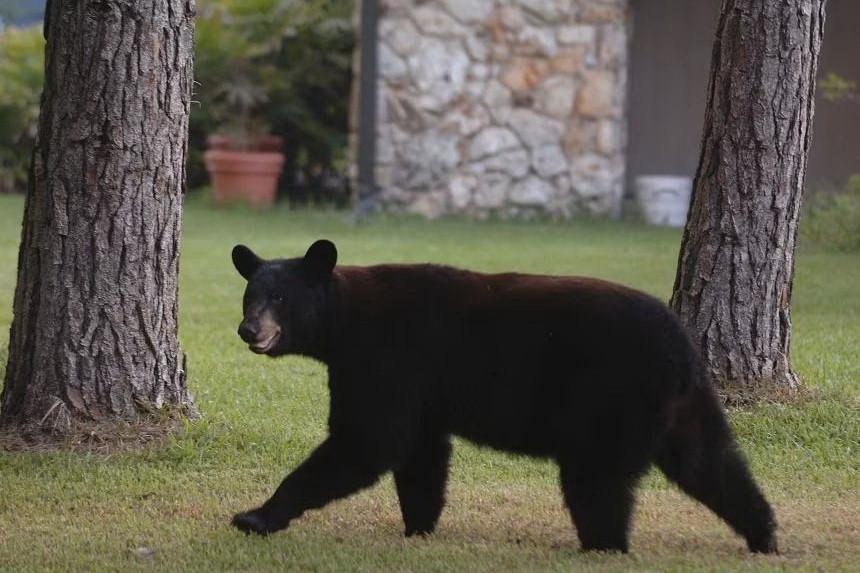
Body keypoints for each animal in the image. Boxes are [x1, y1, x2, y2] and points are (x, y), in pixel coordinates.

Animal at [229, 239, 778, 554]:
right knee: (710, 463)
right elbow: (422, 455)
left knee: (597, 481)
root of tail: (682, 348)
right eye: (249, 295)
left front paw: (256, 516)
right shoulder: (420, 388)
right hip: (684, 406)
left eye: (279, 298)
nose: (248, 330)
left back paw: (602, 546)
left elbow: (368, 441)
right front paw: (419, 528)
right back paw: (764, 534)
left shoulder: (387, 360)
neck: (344, 322)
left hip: (610, 399)